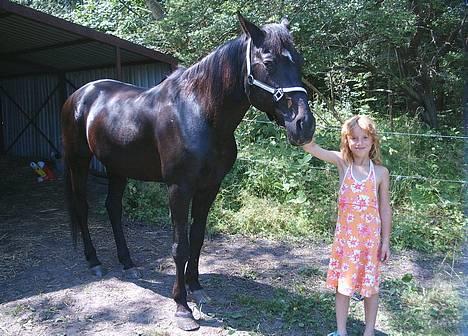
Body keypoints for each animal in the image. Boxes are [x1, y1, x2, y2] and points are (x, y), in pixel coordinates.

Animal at [61, 13, 314, 330]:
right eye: (268, 62)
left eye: (299, 61)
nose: (304, 125)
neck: (198, 113)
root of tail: (79, 94)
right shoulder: (179, 188)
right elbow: (180, 245)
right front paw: (182, 307)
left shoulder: (210, 186)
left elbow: (197, 238)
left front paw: (197, 288)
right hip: (78, 161)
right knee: (82, 207)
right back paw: (94, 262)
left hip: (117, 167)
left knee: (113, 208)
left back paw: (128, 264)